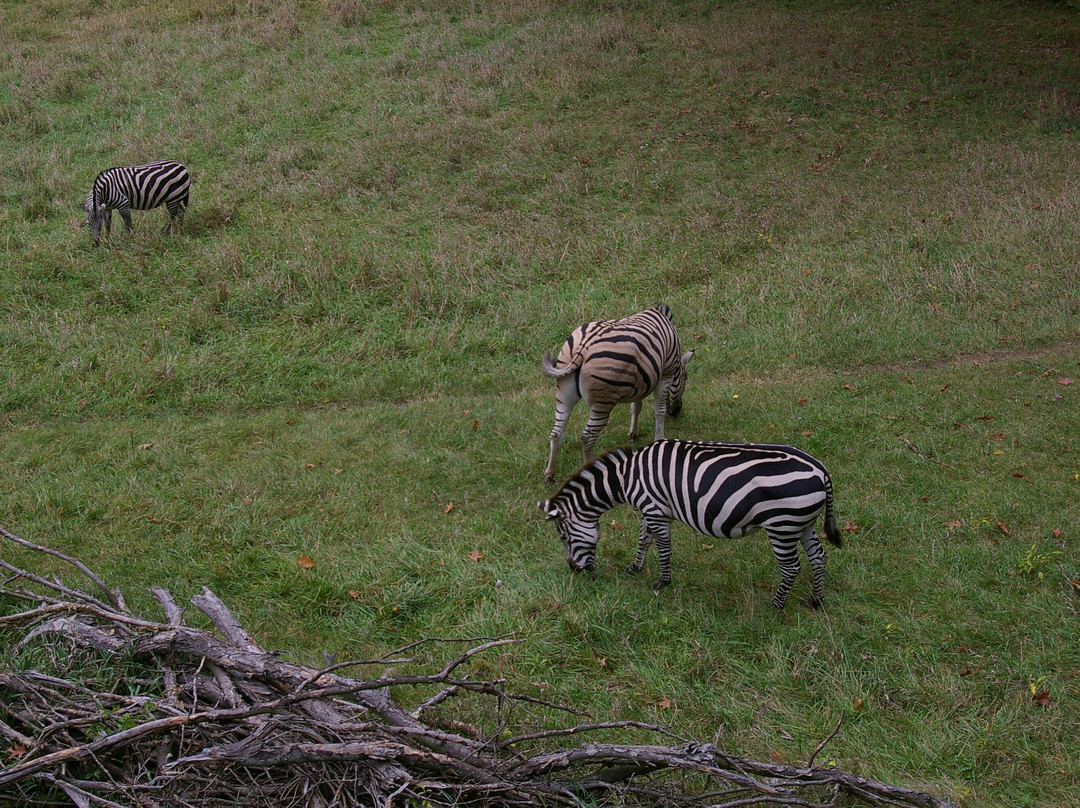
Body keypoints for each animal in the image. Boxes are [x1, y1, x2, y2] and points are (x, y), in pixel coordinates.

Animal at [540, 304, 691, 483]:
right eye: (686, 377)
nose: (677, 412)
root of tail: (583, 347)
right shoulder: (665, 376)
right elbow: (659, 411)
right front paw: (659, 439)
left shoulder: (641, 380)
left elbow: (636, 407)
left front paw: (633, 433)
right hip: (603, 401)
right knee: (587, 436)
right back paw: (588, 470)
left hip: (564, 392)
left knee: (557, 433)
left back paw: (550, 473)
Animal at [540, 438, 842, 609]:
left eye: (564, 537)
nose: (575, 571)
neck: (627, 477)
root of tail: (821, 470)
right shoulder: (650, 508)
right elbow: (643, 540)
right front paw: (634, 569)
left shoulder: (655, 510)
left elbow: (663, 548)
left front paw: (662, 582)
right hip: (803, 524)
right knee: (819, 558)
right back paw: (816, 601)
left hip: (782, 525)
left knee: (792, 567)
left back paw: (775, 606)